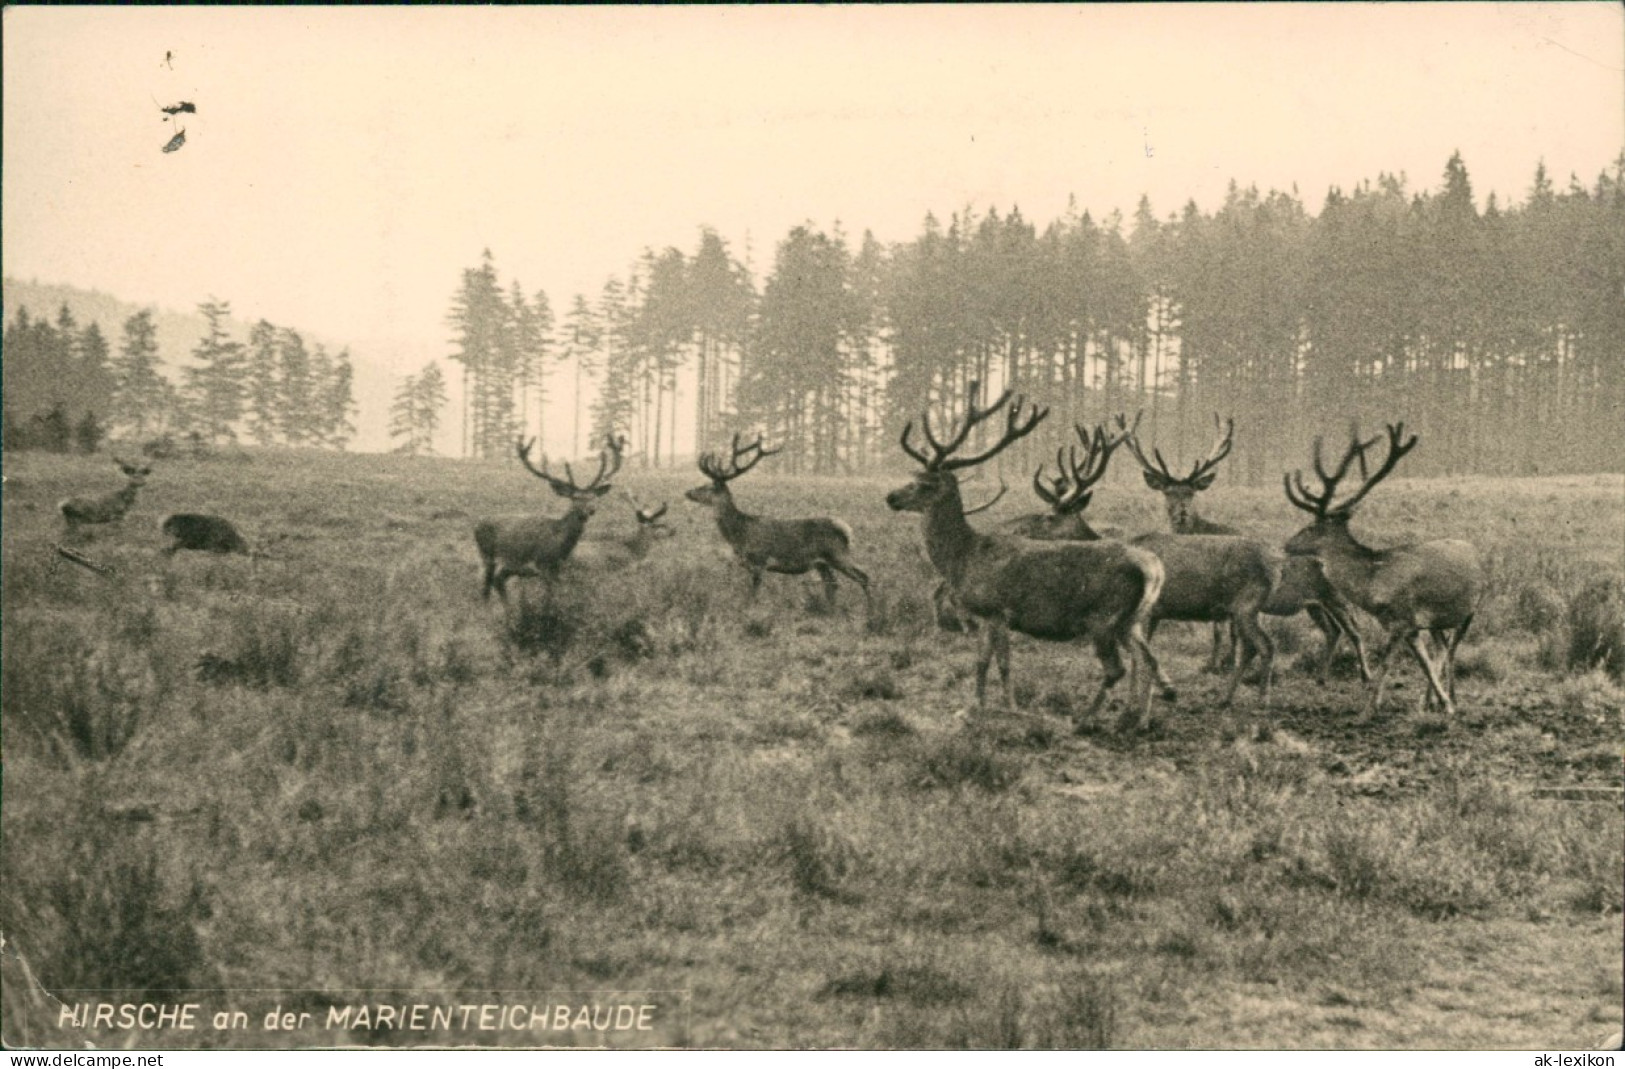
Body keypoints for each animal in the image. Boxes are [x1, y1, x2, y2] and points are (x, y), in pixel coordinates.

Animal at [474, 432, 624, 597]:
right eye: (575, 498)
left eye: (593, 497)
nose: (590, 511)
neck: (559, 546)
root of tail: (476, 526)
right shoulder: (542, 565)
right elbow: (549, 596)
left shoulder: (558, 569)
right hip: (487, 555)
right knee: (486, 587)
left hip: (509, 565)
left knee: (498, 581)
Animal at [682, 425, 871, 607]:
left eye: (708, 487)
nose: (688, 492)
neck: (740, 533)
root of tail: (846, 530)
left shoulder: (759, 561)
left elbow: (753, 595)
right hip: (821, 562)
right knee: (832, 584)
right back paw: (831, 610)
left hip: (837, 554)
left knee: (863, 576)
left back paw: (871, 610)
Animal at [890, 378, 1170, 727]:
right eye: (912, 476)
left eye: (926, 483)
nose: (891, 497)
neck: (963, 557)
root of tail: (1153, 569)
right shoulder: (991, 616)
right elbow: (991, 662)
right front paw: (990, 705)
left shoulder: (995, 610)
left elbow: (996, 663)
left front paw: (993, 707)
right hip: (1132, 619)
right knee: (1148, 660)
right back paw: (1134, 719)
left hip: (1103, 617)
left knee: (1116, 668)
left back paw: (1085, 718)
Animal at [1118, 407, 1371, 682]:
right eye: (1167, 492)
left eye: (1191, 492)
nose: (1182, 513)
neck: (1203, 529)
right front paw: (1221, 663)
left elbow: (1224, 631)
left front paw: (1221, 664)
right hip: (1314, 603)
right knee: (1332, 630)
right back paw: (1321, 677)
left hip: (1336, 595)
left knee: (1354, 629)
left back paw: (1364, 674)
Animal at [1280, 419, 1488, 711]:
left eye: (1311, 528)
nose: (1287, 544)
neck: (1374, 583)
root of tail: (1475, 551)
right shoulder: (1404, 625)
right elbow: (1422, 663)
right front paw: (1430, 702)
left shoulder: (1402, 619)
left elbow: (1388, 663)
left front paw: (1370, 707)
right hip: (1437, 621)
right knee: (1441, 648)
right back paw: (1431, 700)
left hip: (1470, 610)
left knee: (1452, 649)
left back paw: (1450, 697)